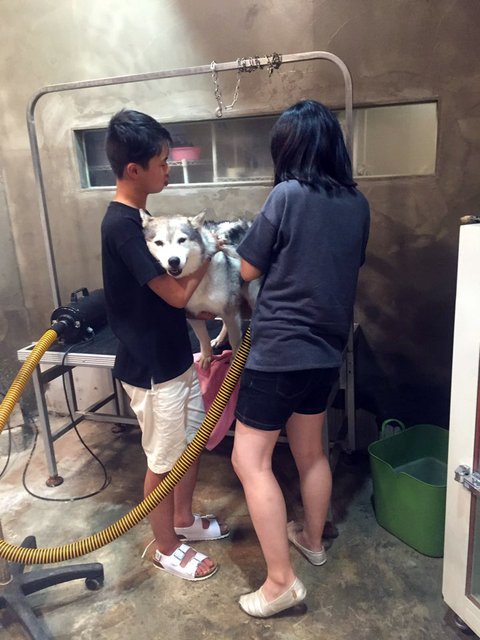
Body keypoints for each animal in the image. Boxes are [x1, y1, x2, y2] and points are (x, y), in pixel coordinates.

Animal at [140, 210, 259, 368]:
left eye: (182, 240)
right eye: (159, 243)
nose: (173, 261)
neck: (197, 280)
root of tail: (250, 223)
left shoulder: (230, 311)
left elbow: (234, 341)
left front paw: (234, 362)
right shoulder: (193, 316)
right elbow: (203, 339)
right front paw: (206, 358)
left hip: (249, 296)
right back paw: (219, 339)